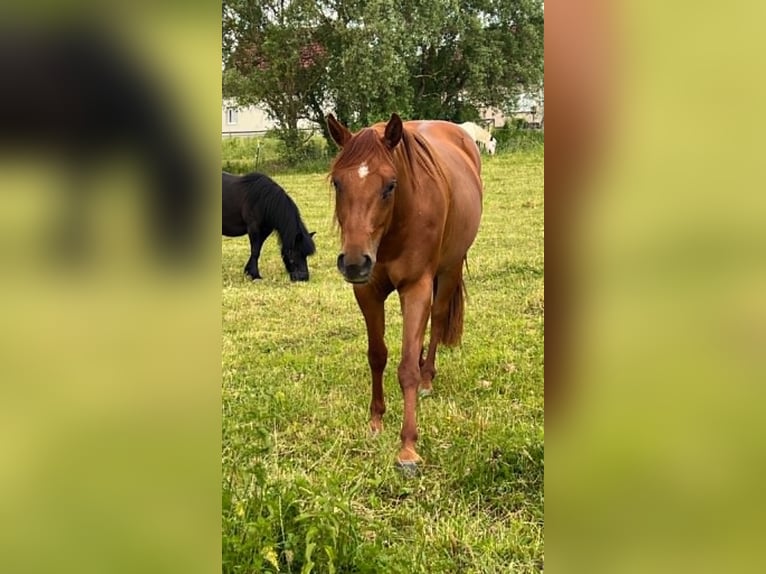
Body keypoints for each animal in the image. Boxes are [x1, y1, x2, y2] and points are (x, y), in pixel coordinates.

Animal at [326, 112, 483, 470]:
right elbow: (377, 355)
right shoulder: (368, 292)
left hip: (448, 271)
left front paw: (408, 447)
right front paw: (375, 420)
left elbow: (407, 366)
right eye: (337, 183)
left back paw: (427, 378)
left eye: (390, 186)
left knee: (436, 322)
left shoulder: (416, 288)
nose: (353, 263)